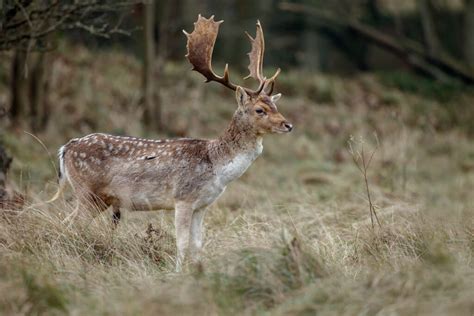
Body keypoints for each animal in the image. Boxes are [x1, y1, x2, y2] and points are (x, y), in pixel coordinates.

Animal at [50, 15, 290, 270]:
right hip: (87, 191)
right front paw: (177, 273)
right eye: (260, 110)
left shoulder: (202, 205)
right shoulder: (183, 197)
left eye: (275, 105)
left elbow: (197, 244)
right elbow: (182, 243)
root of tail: (66, 148)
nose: (288, 125)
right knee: (69, 223)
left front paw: (198, 270)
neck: (216, 166)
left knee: (67, 222)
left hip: (98, 198)